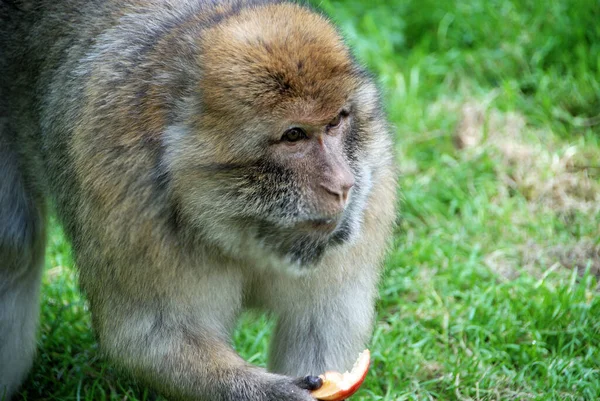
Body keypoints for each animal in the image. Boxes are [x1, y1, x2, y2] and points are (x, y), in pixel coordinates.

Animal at [0, 0, 398, 398]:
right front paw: (277, 392)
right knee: (15, 246)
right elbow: (152, 338)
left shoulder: (370, 193)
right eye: (294, 136)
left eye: (336, 122)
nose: (343, 185)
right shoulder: (130, 201)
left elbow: (320, 329)